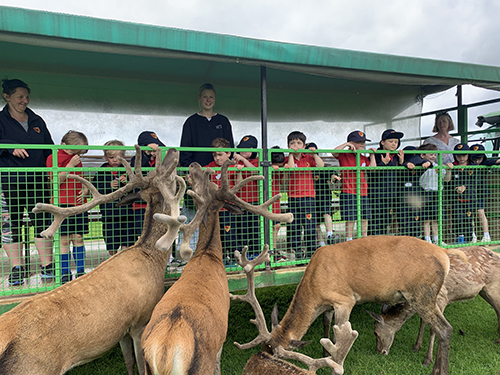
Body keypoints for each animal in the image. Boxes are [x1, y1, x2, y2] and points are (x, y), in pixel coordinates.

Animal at [0, 147, 195, 375]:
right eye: (169, 177)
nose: (172, 150)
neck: (151, 258)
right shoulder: (141, 320)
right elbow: (140, 365)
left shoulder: (122, 330)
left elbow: (128, 361)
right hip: (33, 369)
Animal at [140, 161, 292, 375]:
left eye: (204, 181)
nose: (194, 164)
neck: (207, 255)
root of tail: (164, 352)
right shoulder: (221, 336)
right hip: (203, 362)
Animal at [244, 238, 466, 375]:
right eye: (264, 348)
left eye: (276, 357)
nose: (255, 363)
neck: (314, 288)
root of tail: (444, 255)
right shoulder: (329, 305)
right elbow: (326, 326)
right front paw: (324, 354)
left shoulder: (345, 300)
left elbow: (338, 334)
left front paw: (333, 363)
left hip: (421, 293)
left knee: (445, 328)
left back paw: (439, 370)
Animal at [368, 245, 500, 366]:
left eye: (375, 332)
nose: (380, 351)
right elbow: (422, 322)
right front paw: (416, 347)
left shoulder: (441, 299)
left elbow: (433, 329)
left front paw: (428, 360)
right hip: (484, 291)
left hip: (493, 287)